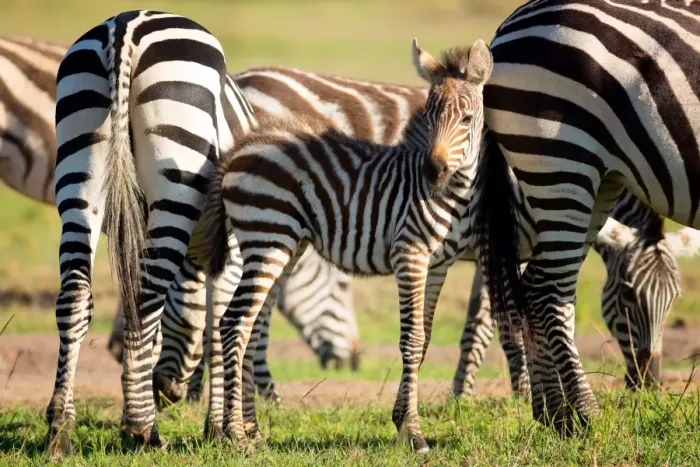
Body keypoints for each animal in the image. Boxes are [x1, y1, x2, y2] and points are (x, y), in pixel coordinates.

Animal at [49, 11, 258, 458]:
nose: (169, 393)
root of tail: (124, 28)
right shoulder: (228, 250)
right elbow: (218, 327)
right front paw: (223, 429)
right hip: (178, 162)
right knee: (146, 298)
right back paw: (145, 430)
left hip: (80, 165)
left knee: (76, 296)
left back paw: (60, 431)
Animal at [197, 39, 493, 453]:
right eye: (430, 117)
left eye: (466, 119)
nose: (432, 173)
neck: (453, 196)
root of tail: (240, 149)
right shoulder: (410, 254)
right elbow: (412, 338)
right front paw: (413, 432)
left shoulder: (438, 264)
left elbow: (426, 338)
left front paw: (402, 421)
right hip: (266, 238)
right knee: (234, 322)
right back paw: (235, 435)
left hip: (285, 245)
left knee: (252, 326)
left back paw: (251, 430)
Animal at [471, 0, 700, 434]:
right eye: (627, 294)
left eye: (674, 299)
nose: (649, 384)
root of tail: (508, 23)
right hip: (561, 158)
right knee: (547, 291)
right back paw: (583, 414)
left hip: (597, 181)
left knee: (538, 288)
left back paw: (554, 414)